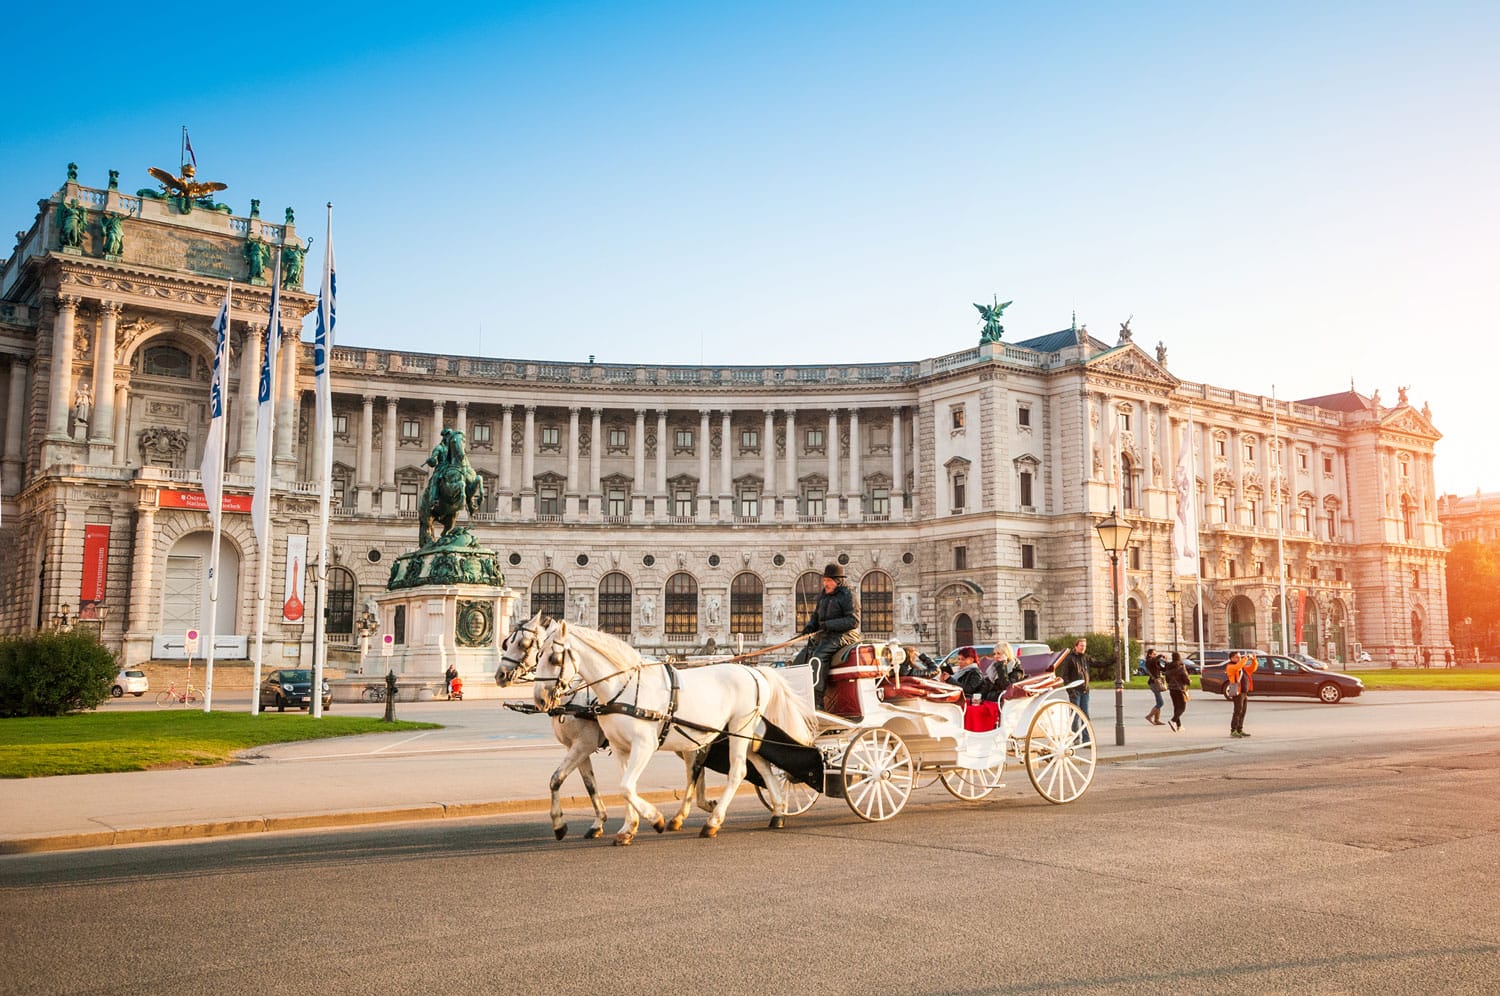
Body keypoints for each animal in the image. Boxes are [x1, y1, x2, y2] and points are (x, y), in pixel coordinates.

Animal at [495, 615, 717, 840]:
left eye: (524, 644)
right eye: (507, 643)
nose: (500, 675)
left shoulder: (584, 744)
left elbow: (556, 779)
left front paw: (560, 824)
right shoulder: (576, 748)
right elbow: (589, 785)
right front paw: (599, 822)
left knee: (693, 770)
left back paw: (687, 815)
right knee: (697, 768)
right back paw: (701, 806)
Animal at [543, 618, 822, 846]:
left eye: (552, 658)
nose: (540, 698)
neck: (624, 687)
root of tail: (753, 670)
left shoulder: (633, 744)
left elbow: (624, 787)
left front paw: (654, 819)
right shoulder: (614, 747)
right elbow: (608, 785)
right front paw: (624, 828)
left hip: (738, 727)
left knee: (737, 771)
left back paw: (713, 822)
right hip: (741, 733)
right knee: (760, 765)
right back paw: (777, 812)